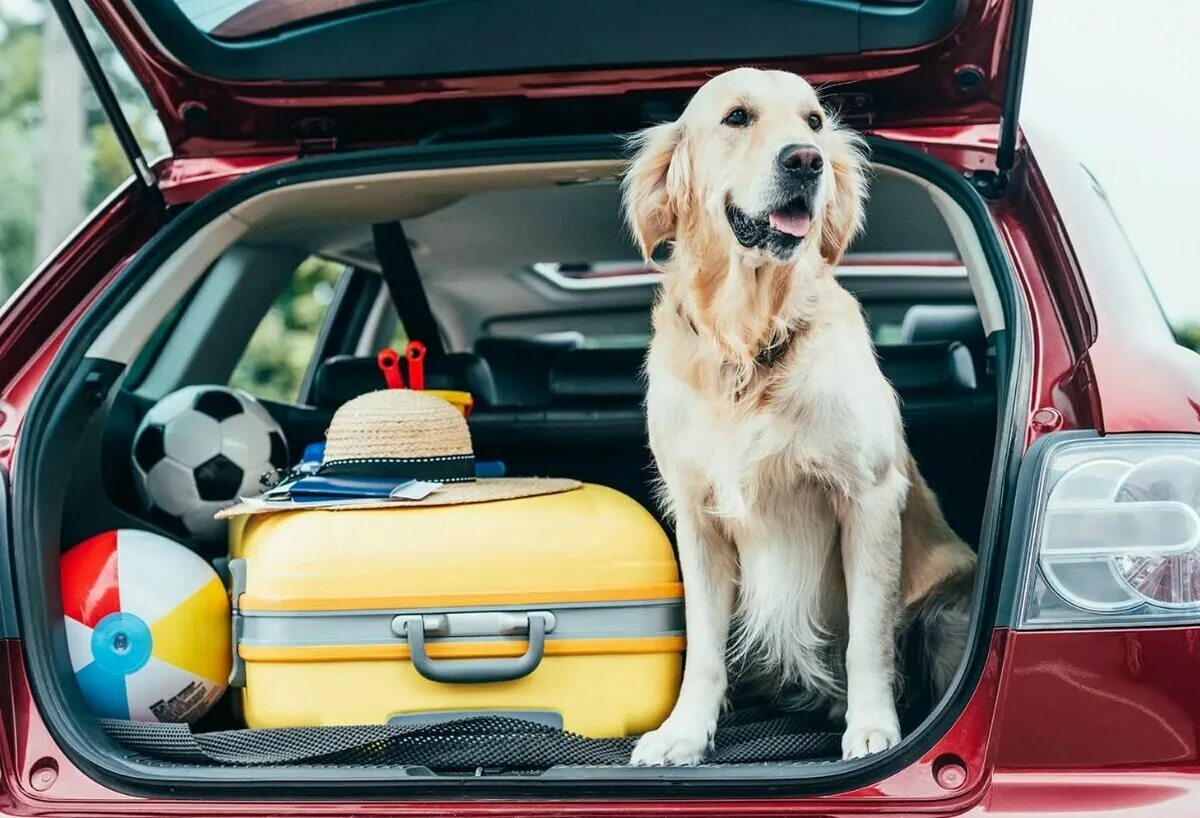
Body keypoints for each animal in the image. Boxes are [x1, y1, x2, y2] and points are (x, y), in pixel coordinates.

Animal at [624, 70, 979, 762]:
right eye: (737, 117)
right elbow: (702, 648)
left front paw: (872, 728)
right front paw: (685, 733)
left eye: (814, 121)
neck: (750, 342)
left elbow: (868, 637)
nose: (806, 161)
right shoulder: (697, 516)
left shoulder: (867, 497)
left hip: (947, 608)